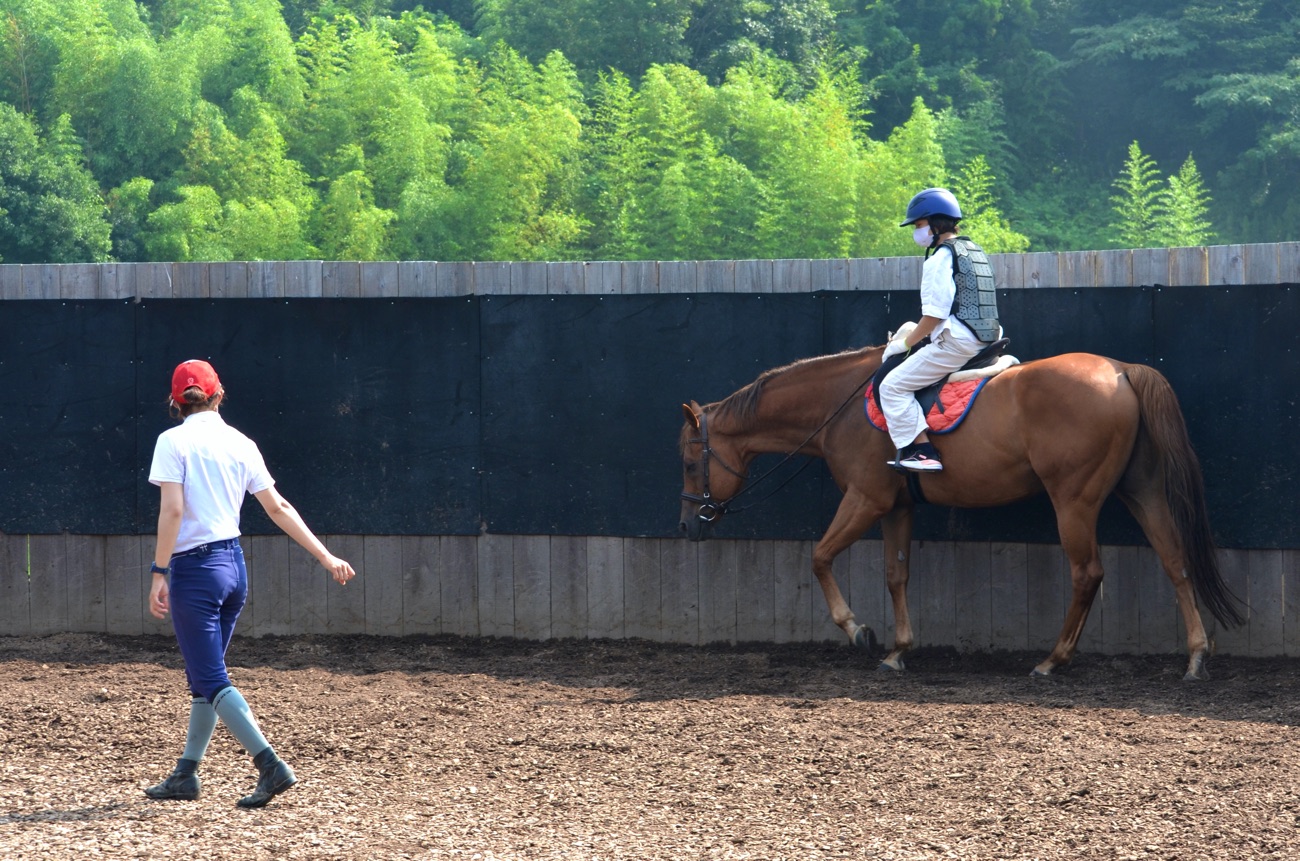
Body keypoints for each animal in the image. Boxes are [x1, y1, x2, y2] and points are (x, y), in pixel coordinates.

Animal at [676, 345, 1242, 681]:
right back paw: (1196, 655)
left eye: (687, 462)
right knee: (1175, 561)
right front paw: (898, 649)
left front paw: (858, 630)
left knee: (1088, 573)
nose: (686, 524)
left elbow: (819, 558)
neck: (840, 406)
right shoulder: (897, 506)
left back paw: (1053, 659)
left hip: (1074, 500)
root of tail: (1121, 371)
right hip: (1142, 492)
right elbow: (896, 574)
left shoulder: (866, 498)